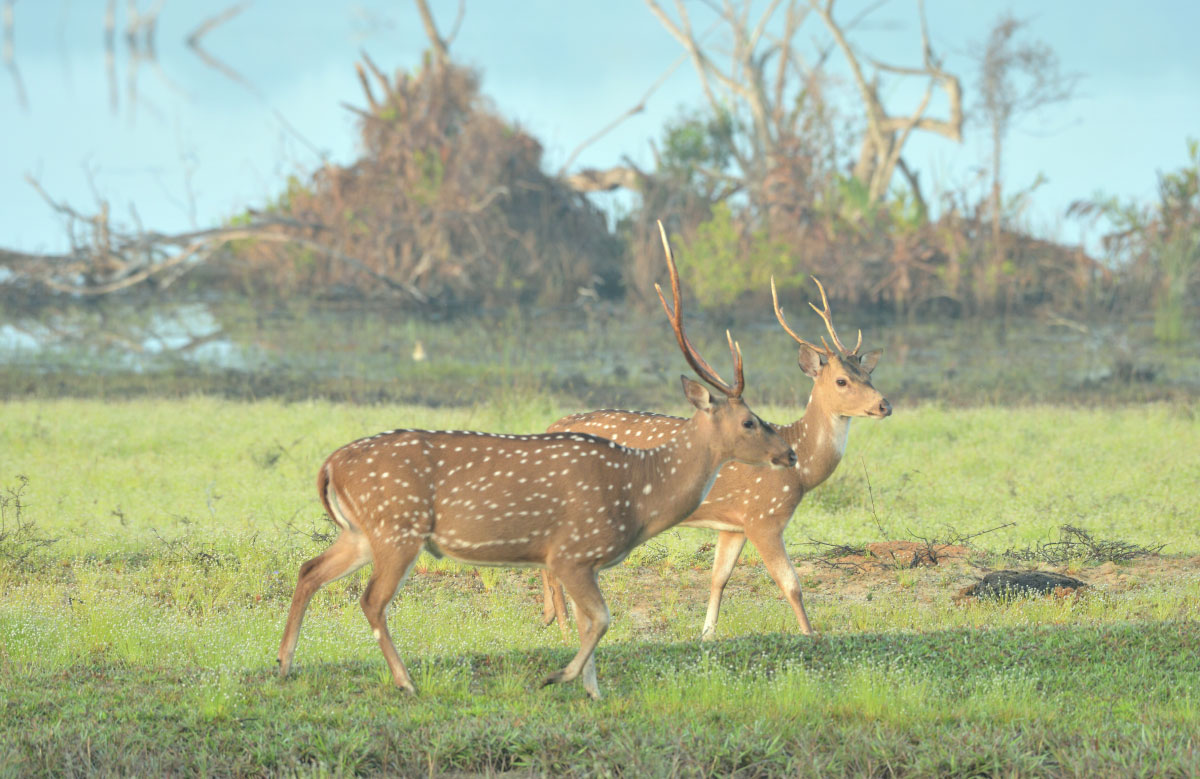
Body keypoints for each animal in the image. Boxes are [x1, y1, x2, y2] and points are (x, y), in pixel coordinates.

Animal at [274, 220, 796, 700]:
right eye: (750, 421)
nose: (788, 452)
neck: (638, 497)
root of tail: (329, 465)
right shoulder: (571, 551)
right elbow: (601, 619)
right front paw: (558, 676)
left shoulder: (583, 561)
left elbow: (591, 622)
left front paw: (593, 693)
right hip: (397, 528)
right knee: (371, 600)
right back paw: (405, 681)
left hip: (362, 532)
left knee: (308, 570)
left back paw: (284, 663)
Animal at [544, 276, 892, 633]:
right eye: (841, 381)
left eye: (869, 376)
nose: (884, 405)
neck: (802, 471)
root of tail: (552, 425)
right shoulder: (763, 517)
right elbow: (791, 585)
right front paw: (810, 634)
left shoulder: (732, 525)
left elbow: (719, 579)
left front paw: (706, 633)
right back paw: (564, 628)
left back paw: (553, 618)